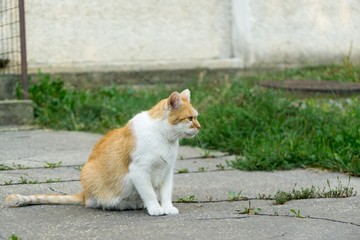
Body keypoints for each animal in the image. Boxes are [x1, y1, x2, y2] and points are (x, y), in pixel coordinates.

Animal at [5, 88, 201, 216]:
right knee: (95, 202)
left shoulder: (166, 171)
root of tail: (84, 193)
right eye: (190, 118)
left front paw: (167, 207)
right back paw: (122, 204)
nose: (199, 127)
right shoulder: (139, 171)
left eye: (196, 117)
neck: (163, 137)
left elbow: (165, 193)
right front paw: (155, 208)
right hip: (90, 173)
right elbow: (150, 193)